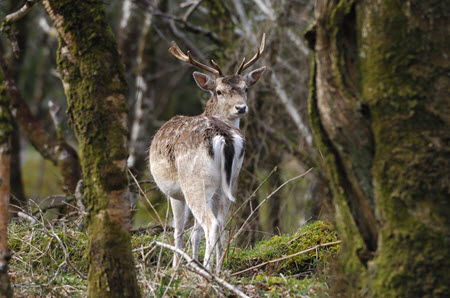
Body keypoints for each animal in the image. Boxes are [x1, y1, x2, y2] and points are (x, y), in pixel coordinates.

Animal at [149, 35, 266, 272]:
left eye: (245, 88)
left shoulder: (175, 193)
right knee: (221, 224)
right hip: (228, 184)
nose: (241, 108)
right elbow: (195, 233)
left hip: (195, 182)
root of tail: (224, 136)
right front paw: (190, 262)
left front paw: (177, 268)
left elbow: (179, 231)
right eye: (219, 91)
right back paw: (218, 269)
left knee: (210, 225)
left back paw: (206, 270)